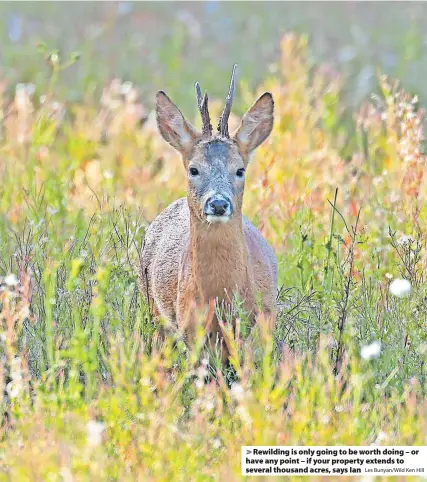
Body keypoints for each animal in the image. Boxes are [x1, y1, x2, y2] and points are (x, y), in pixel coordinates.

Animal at [142, 65, 280, 358]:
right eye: (194, 169)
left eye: (240, 170)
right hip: (152, 307)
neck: (222, 300)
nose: (218, 203)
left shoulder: (263, 325)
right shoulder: (191, 332)